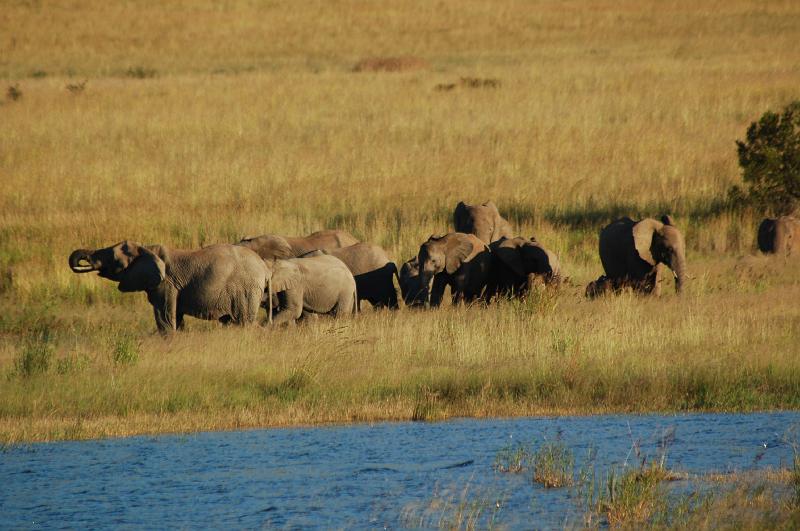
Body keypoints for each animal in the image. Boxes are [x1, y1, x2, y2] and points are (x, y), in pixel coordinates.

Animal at [69, 241, 269, 332]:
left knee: (244, 322)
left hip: (246, 290)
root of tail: (264, 267)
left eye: (114, 260)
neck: (147, 249)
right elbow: (176, 317)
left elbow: (164, 316)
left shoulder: (166, 284)